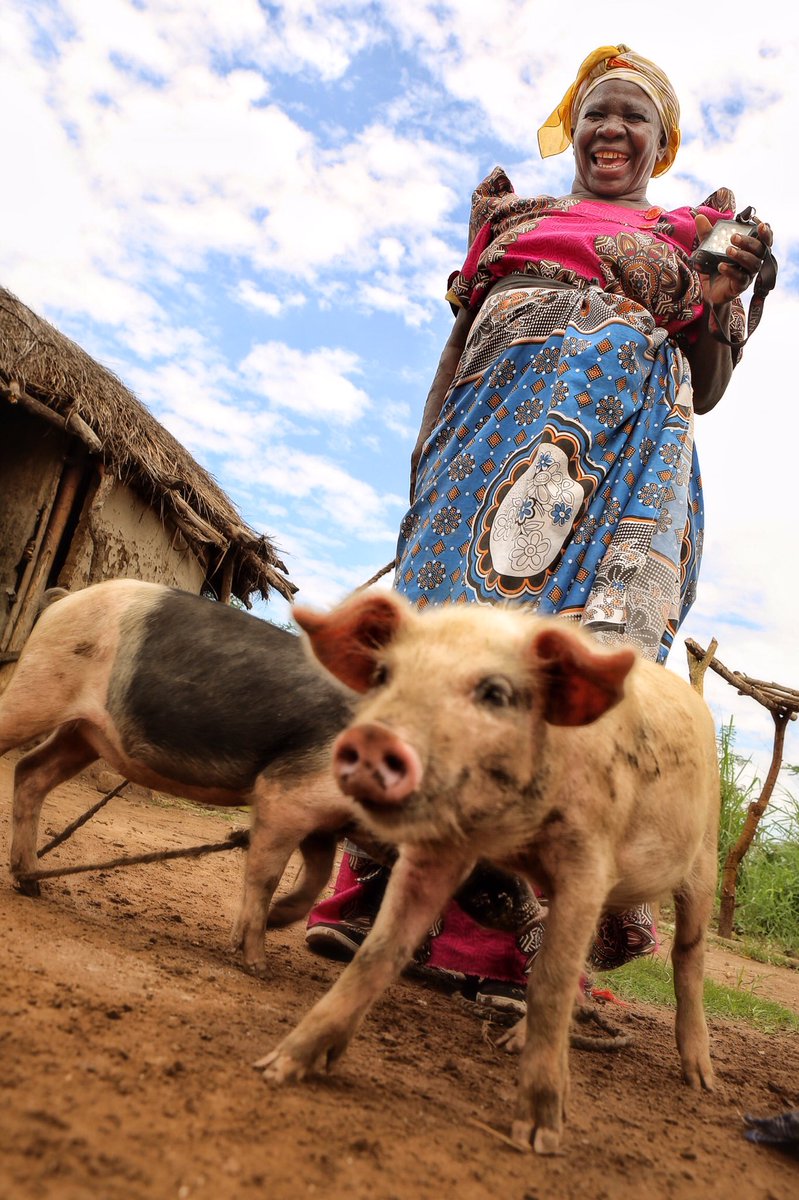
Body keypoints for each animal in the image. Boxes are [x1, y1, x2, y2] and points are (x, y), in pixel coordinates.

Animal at [255, 590, 720, 1155]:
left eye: (496, 693)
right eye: (384, 675)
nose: (371, 738)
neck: (511, 836)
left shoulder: (589, 858)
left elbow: (550, 983)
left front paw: (539, 1137)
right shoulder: (439, 847)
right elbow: (379, 952)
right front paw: (277, 1068)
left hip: (706, 856)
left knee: (687, 957)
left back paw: (701, 1080)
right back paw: (510, 1041)